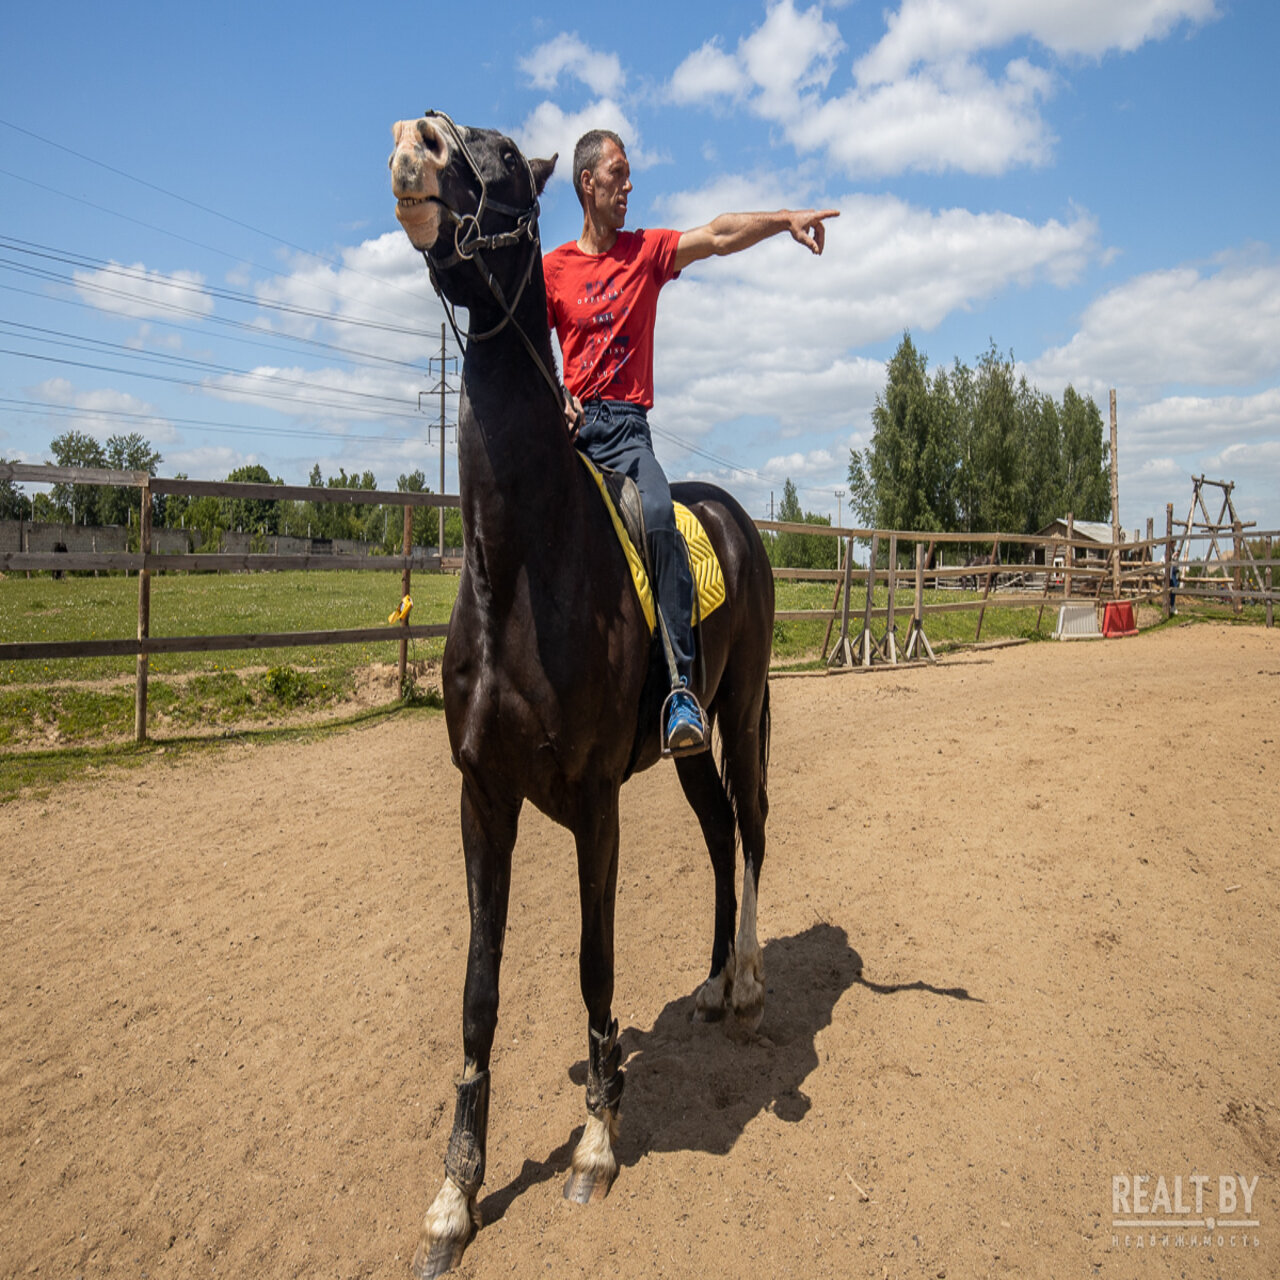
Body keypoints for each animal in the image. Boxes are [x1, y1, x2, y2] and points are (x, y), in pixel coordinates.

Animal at [384, 115, 773, 1274]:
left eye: (507, 158)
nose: (416, 140)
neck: (522, 565)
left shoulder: (594, 800)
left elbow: (595, 964)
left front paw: (598, 1138)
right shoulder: (483, 799)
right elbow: (478, 993)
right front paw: (455, 1195)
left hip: (737, 714)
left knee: (752, 830)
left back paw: (746, 982)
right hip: (688, 755)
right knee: (717, 834)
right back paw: (709, 983)